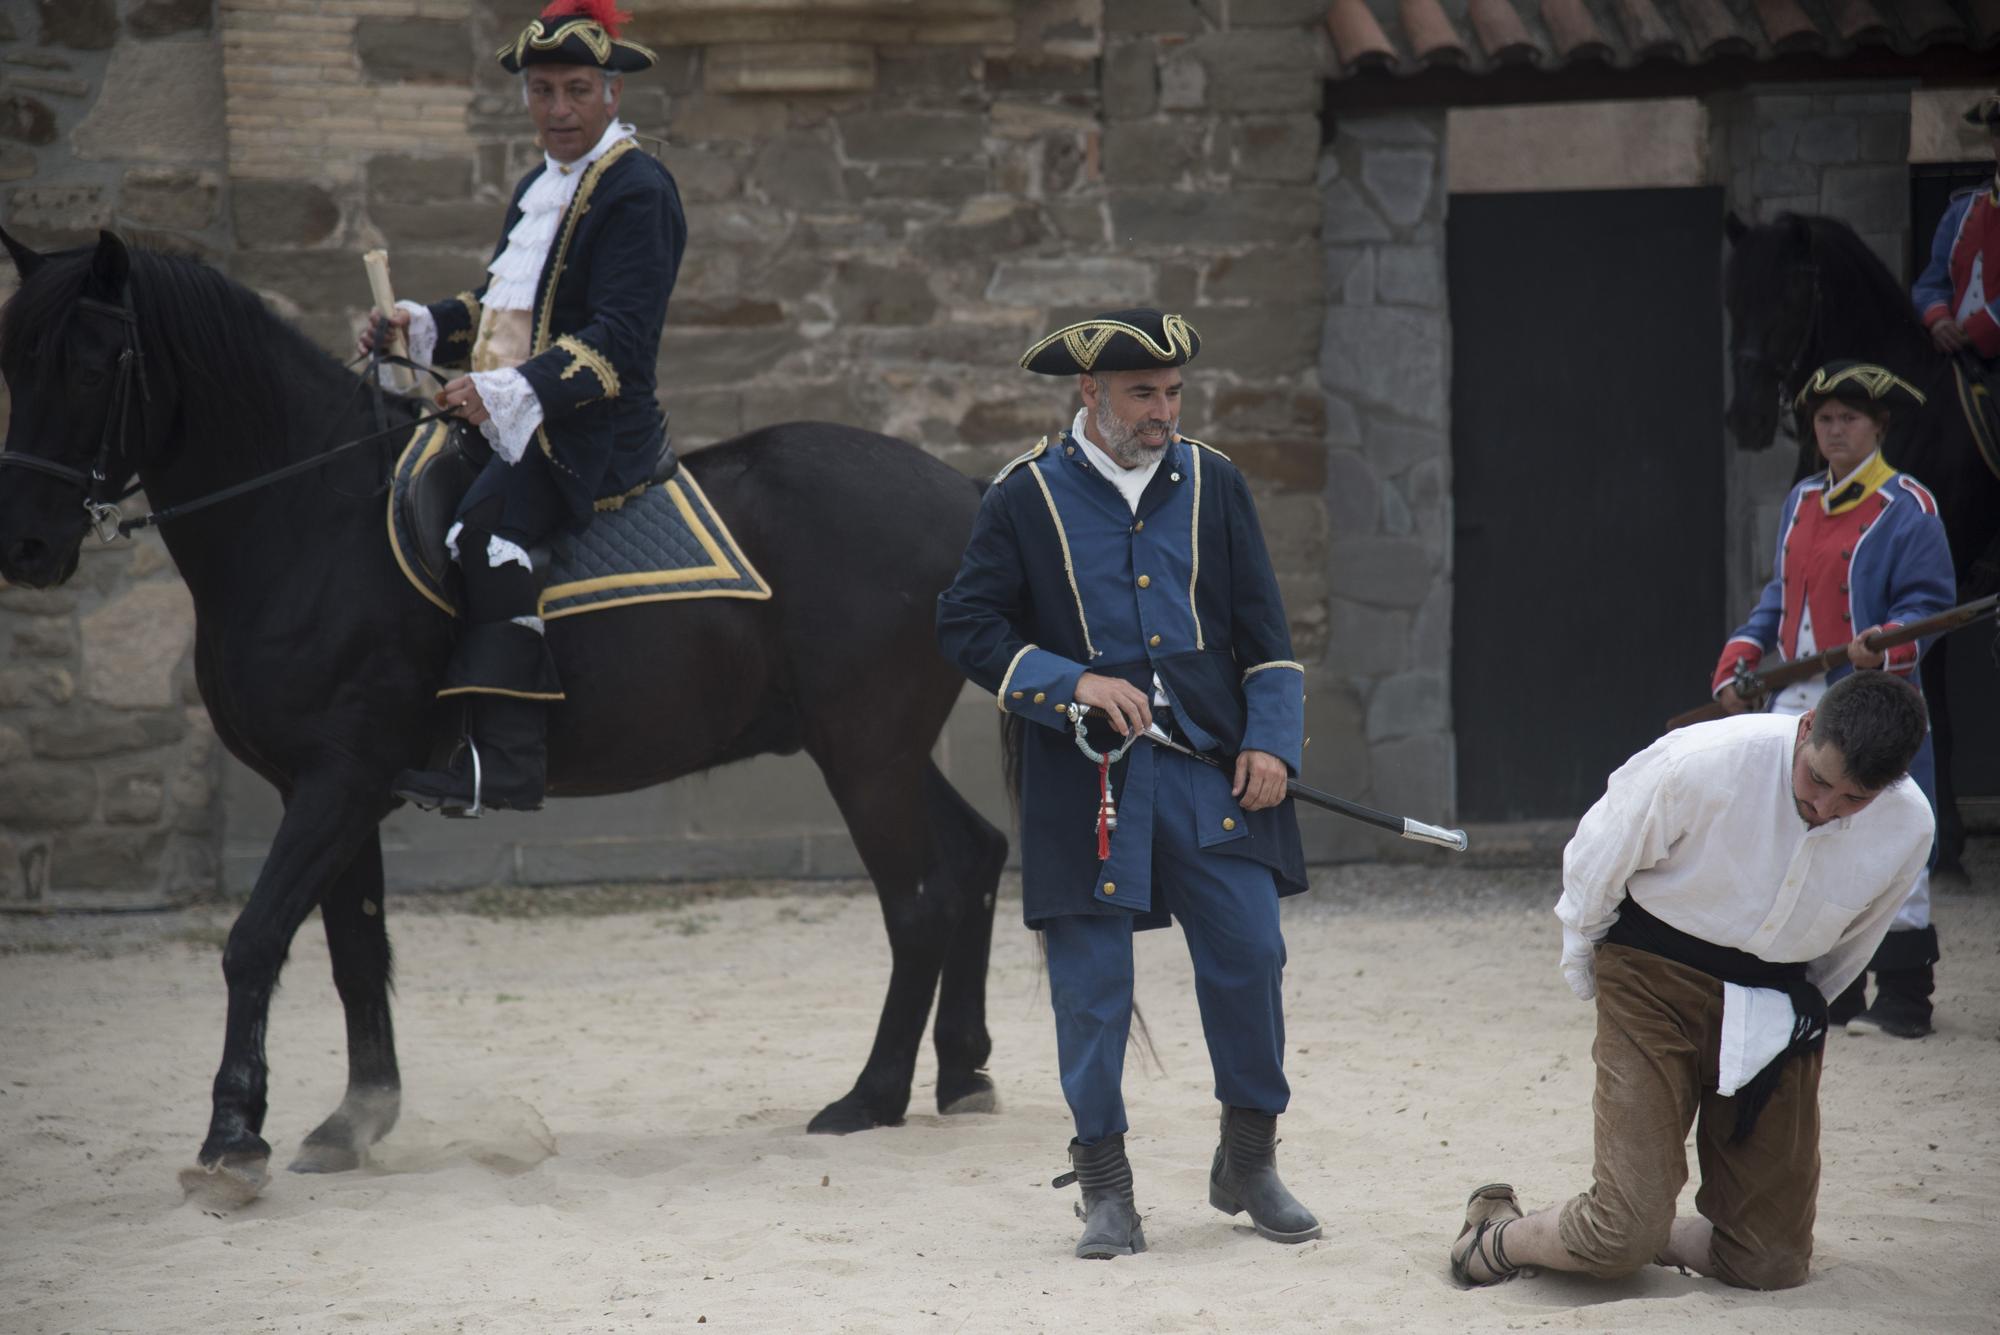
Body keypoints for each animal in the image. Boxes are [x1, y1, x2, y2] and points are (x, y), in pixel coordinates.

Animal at [0, 226, 1008, 1199]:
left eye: (92, 367)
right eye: (13, 364)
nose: (30, 545)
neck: (313, 517)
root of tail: (965, 492)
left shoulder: (340, 780)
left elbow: (253, 942)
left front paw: (231, 1139)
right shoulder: (326, 790)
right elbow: (355, 950)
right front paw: (354, 1122)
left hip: (864, 752)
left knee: (916, 904)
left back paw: (870, 1096)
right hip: (877, 748)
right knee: (975, 857)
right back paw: (963, 1074)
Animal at [1720, 208, 2000, 871]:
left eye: (1791, 294)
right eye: (1731, 298)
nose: (1745, 418)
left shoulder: (1940, 576)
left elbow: (1932, 687)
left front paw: (1947, 841)